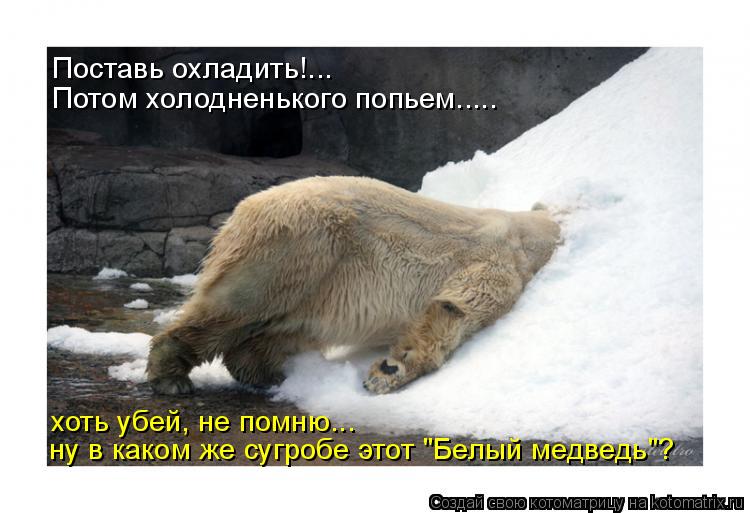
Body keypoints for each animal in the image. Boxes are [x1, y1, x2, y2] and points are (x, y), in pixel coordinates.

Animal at [146, 175, 560, 395]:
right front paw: (390, 370)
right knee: (241, 303)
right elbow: (458, 304)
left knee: (283, 329)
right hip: (303, 243)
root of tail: (242, 210)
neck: (527, 233)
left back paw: (270, 372)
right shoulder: (496, 257)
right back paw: (171, 374)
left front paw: (388, 368)